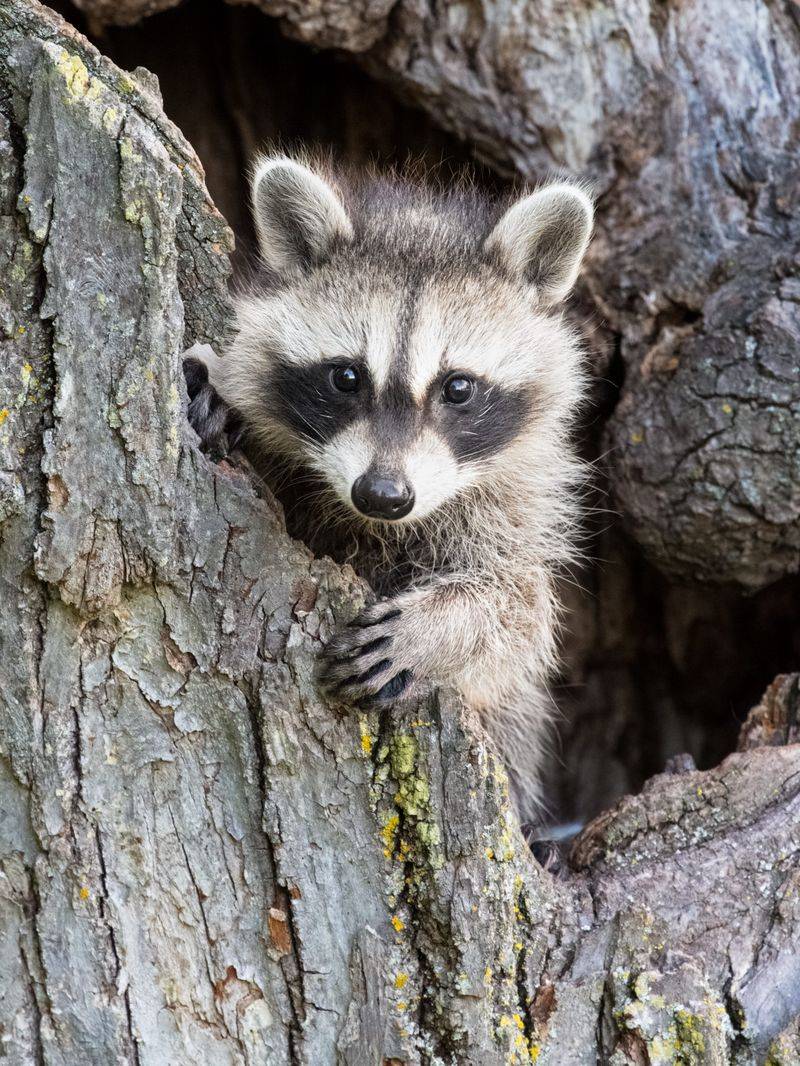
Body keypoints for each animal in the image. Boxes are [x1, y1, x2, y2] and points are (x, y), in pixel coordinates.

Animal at [185, 155, 593, 815]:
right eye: (346, 377)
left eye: (458, 387)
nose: (382, 494)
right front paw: (224, 393)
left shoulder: (517, 502)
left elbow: (521, 613)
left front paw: (443, 628)